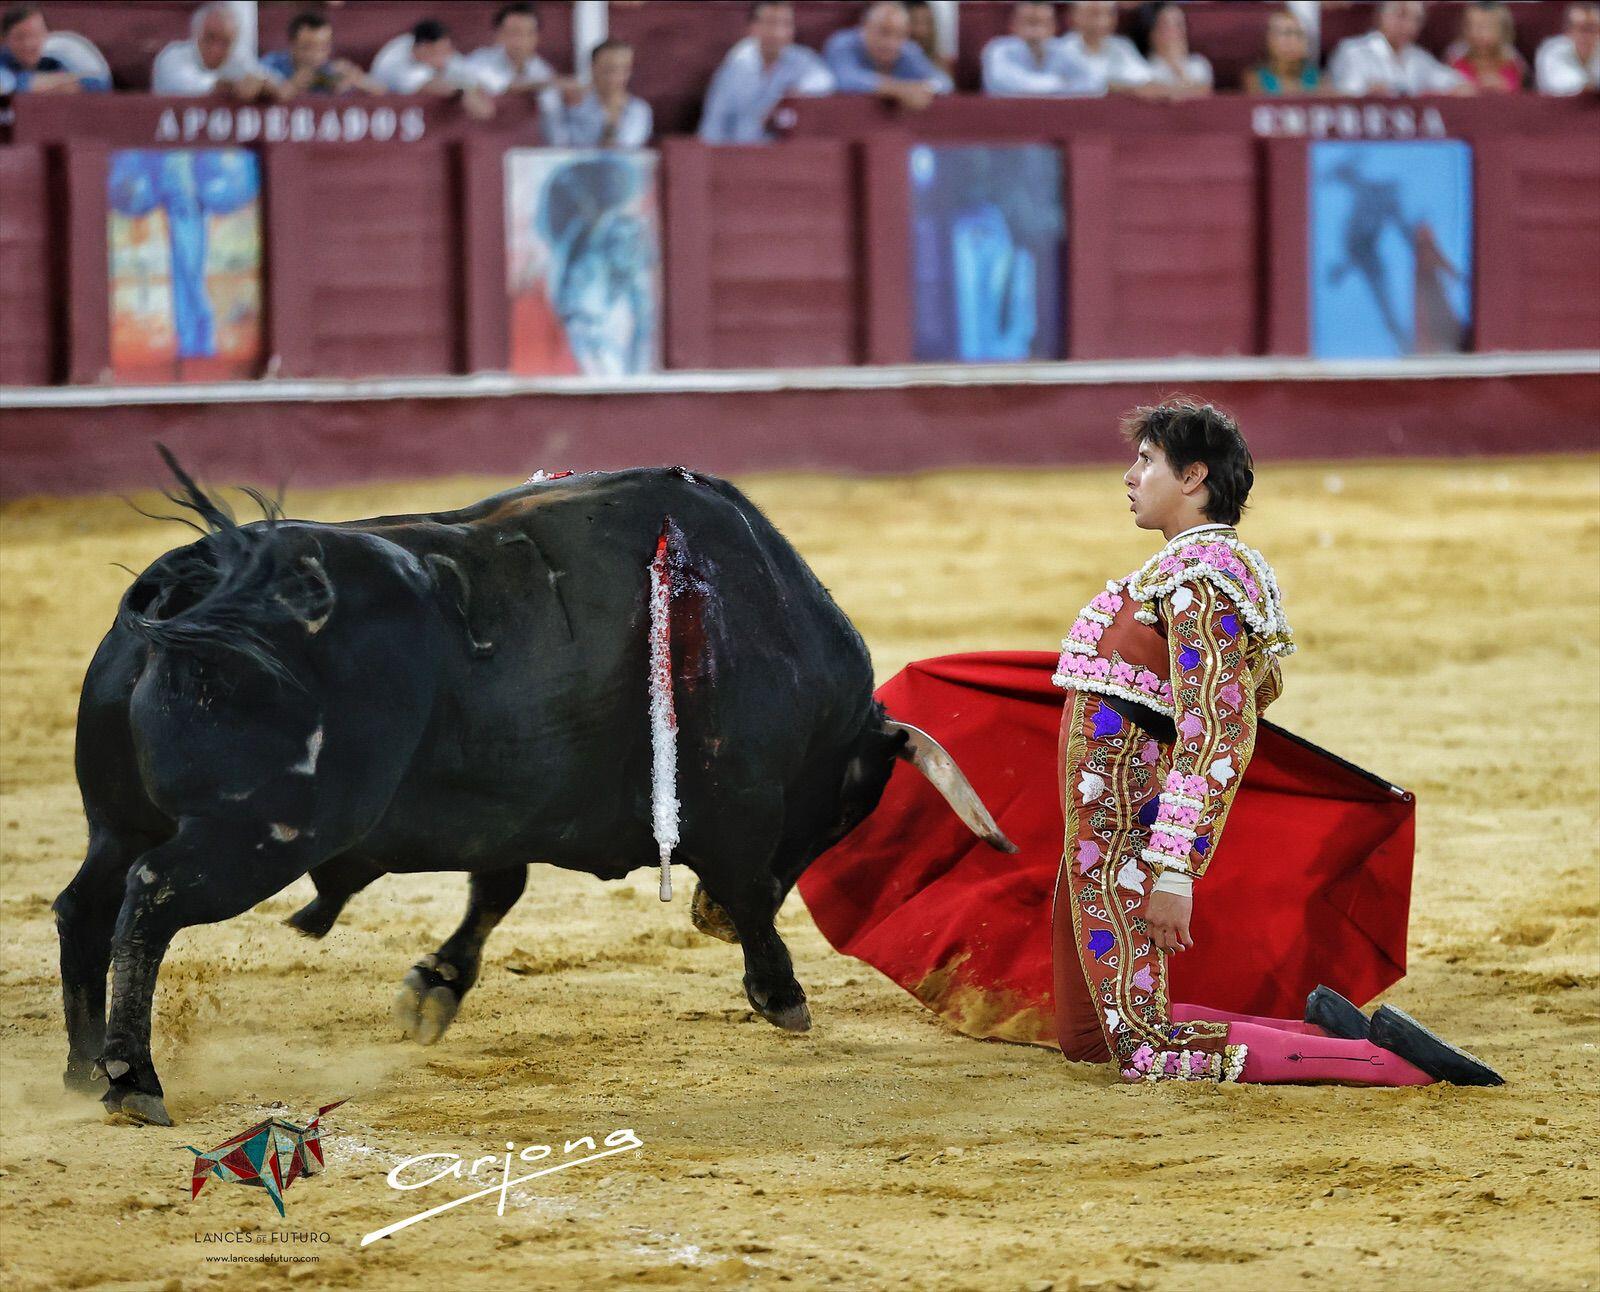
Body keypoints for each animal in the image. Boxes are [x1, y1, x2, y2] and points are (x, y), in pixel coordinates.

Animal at [57, 453, 1014, 1127]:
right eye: (848, 807)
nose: (699, 916)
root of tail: (200, 580)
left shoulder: (507, 812)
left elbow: (498, 890)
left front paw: (434, 988)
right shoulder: (740, 807)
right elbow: (748, 889)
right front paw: (782, 996)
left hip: (120, 822)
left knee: (85, 905)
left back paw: (81, 1067)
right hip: (261, 834)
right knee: (151, 899)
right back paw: (133, 1079)